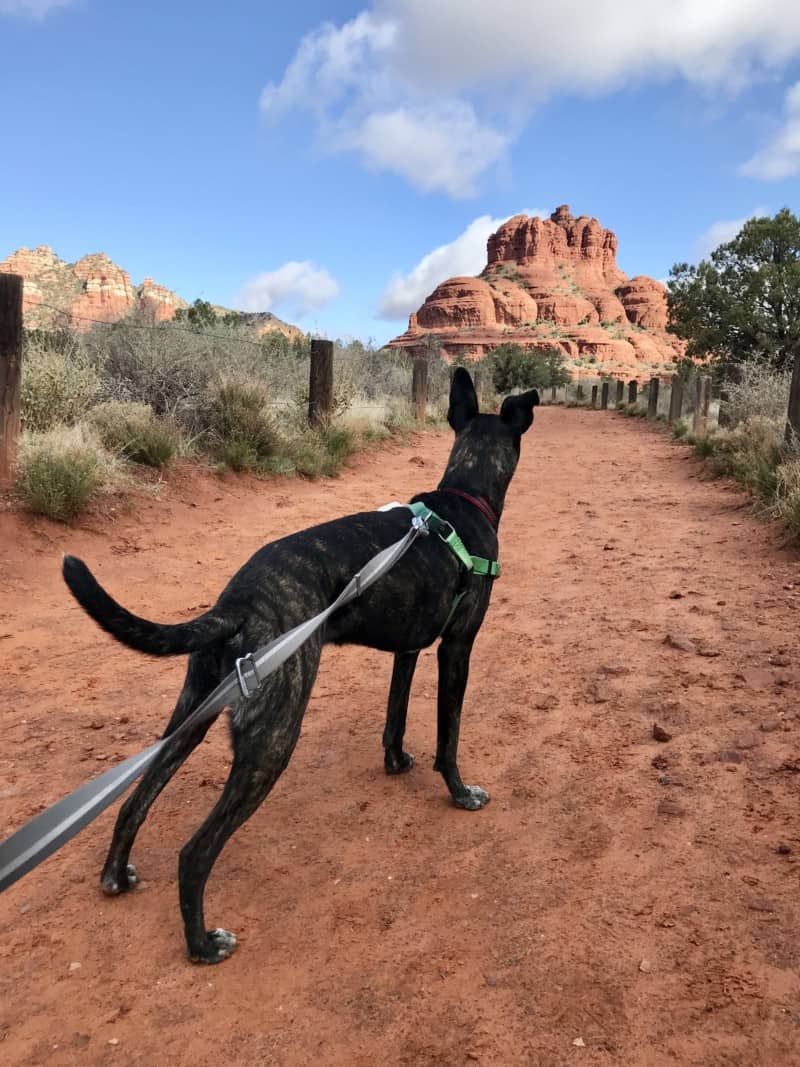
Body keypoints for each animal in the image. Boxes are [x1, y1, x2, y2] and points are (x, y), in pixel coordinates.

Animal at [61, 371, 539, 964]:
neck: (463, 499)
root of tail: (239, 602)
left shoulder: (407, 651)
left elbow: (395, 716)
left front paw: (396, 761)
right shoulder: (456, 648)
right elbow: (447, 737)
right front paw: (459, 792)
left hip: (193, 712)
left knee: (135, 800)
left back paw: (115, 874)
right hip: (274, 737)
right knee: (194, 853)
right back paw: (202, 943)